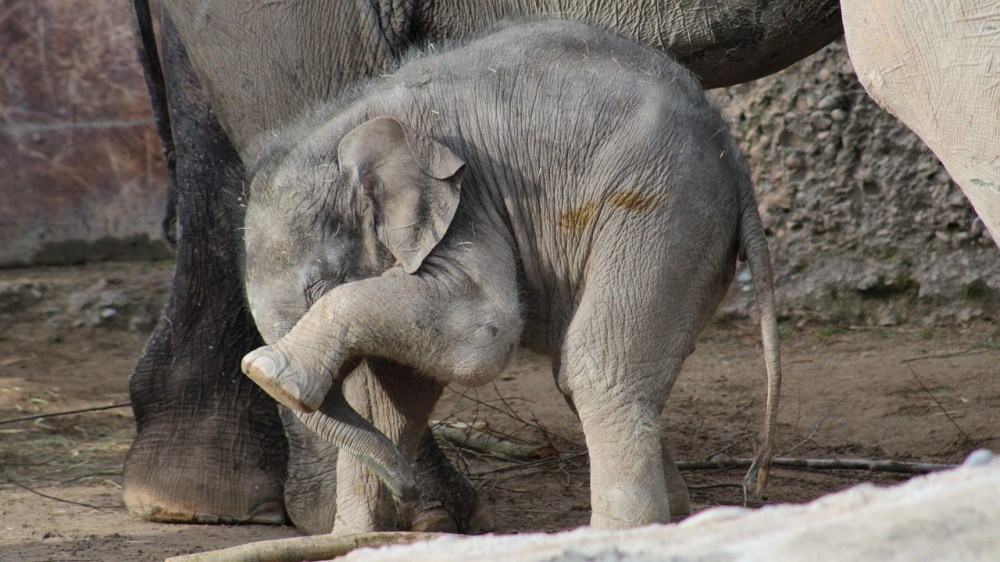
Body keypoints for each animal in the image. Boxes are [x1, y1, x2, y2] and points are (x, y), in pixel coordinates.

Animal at [123, 0, 838, 532]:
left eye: (319, 287)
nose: (407, 496)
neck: (347, 125)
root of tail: (734, 159)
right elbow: (392, 389)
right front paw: (359, 536)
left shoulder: (468, 202)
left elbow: (480, 333)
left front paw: (271, 372)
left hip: (663, 206)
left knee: (598, 368)